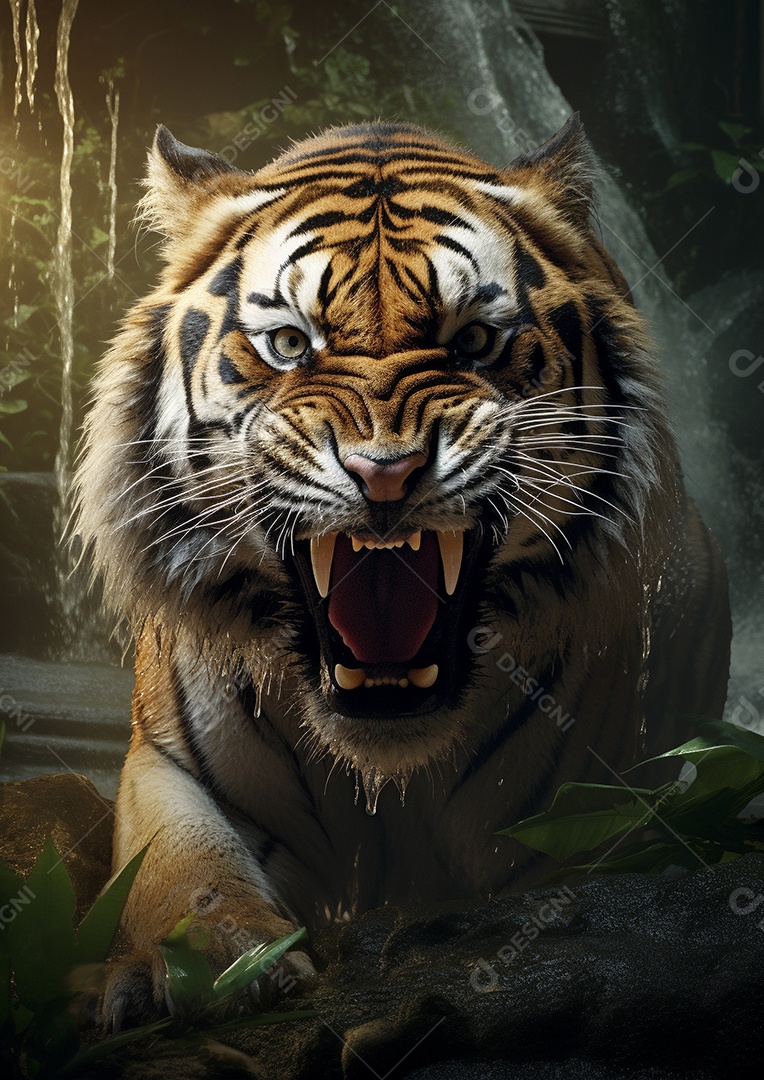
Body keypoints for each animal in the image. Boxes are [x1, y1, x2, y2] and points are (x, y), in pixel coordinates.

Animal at [74, 115, 731, 1024]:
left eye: (475, 341)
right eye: (290, 344)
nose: (384, 472)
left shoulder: (594, 809)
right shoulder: (167, 762)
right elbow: (180, 866)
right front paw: (206, 962)